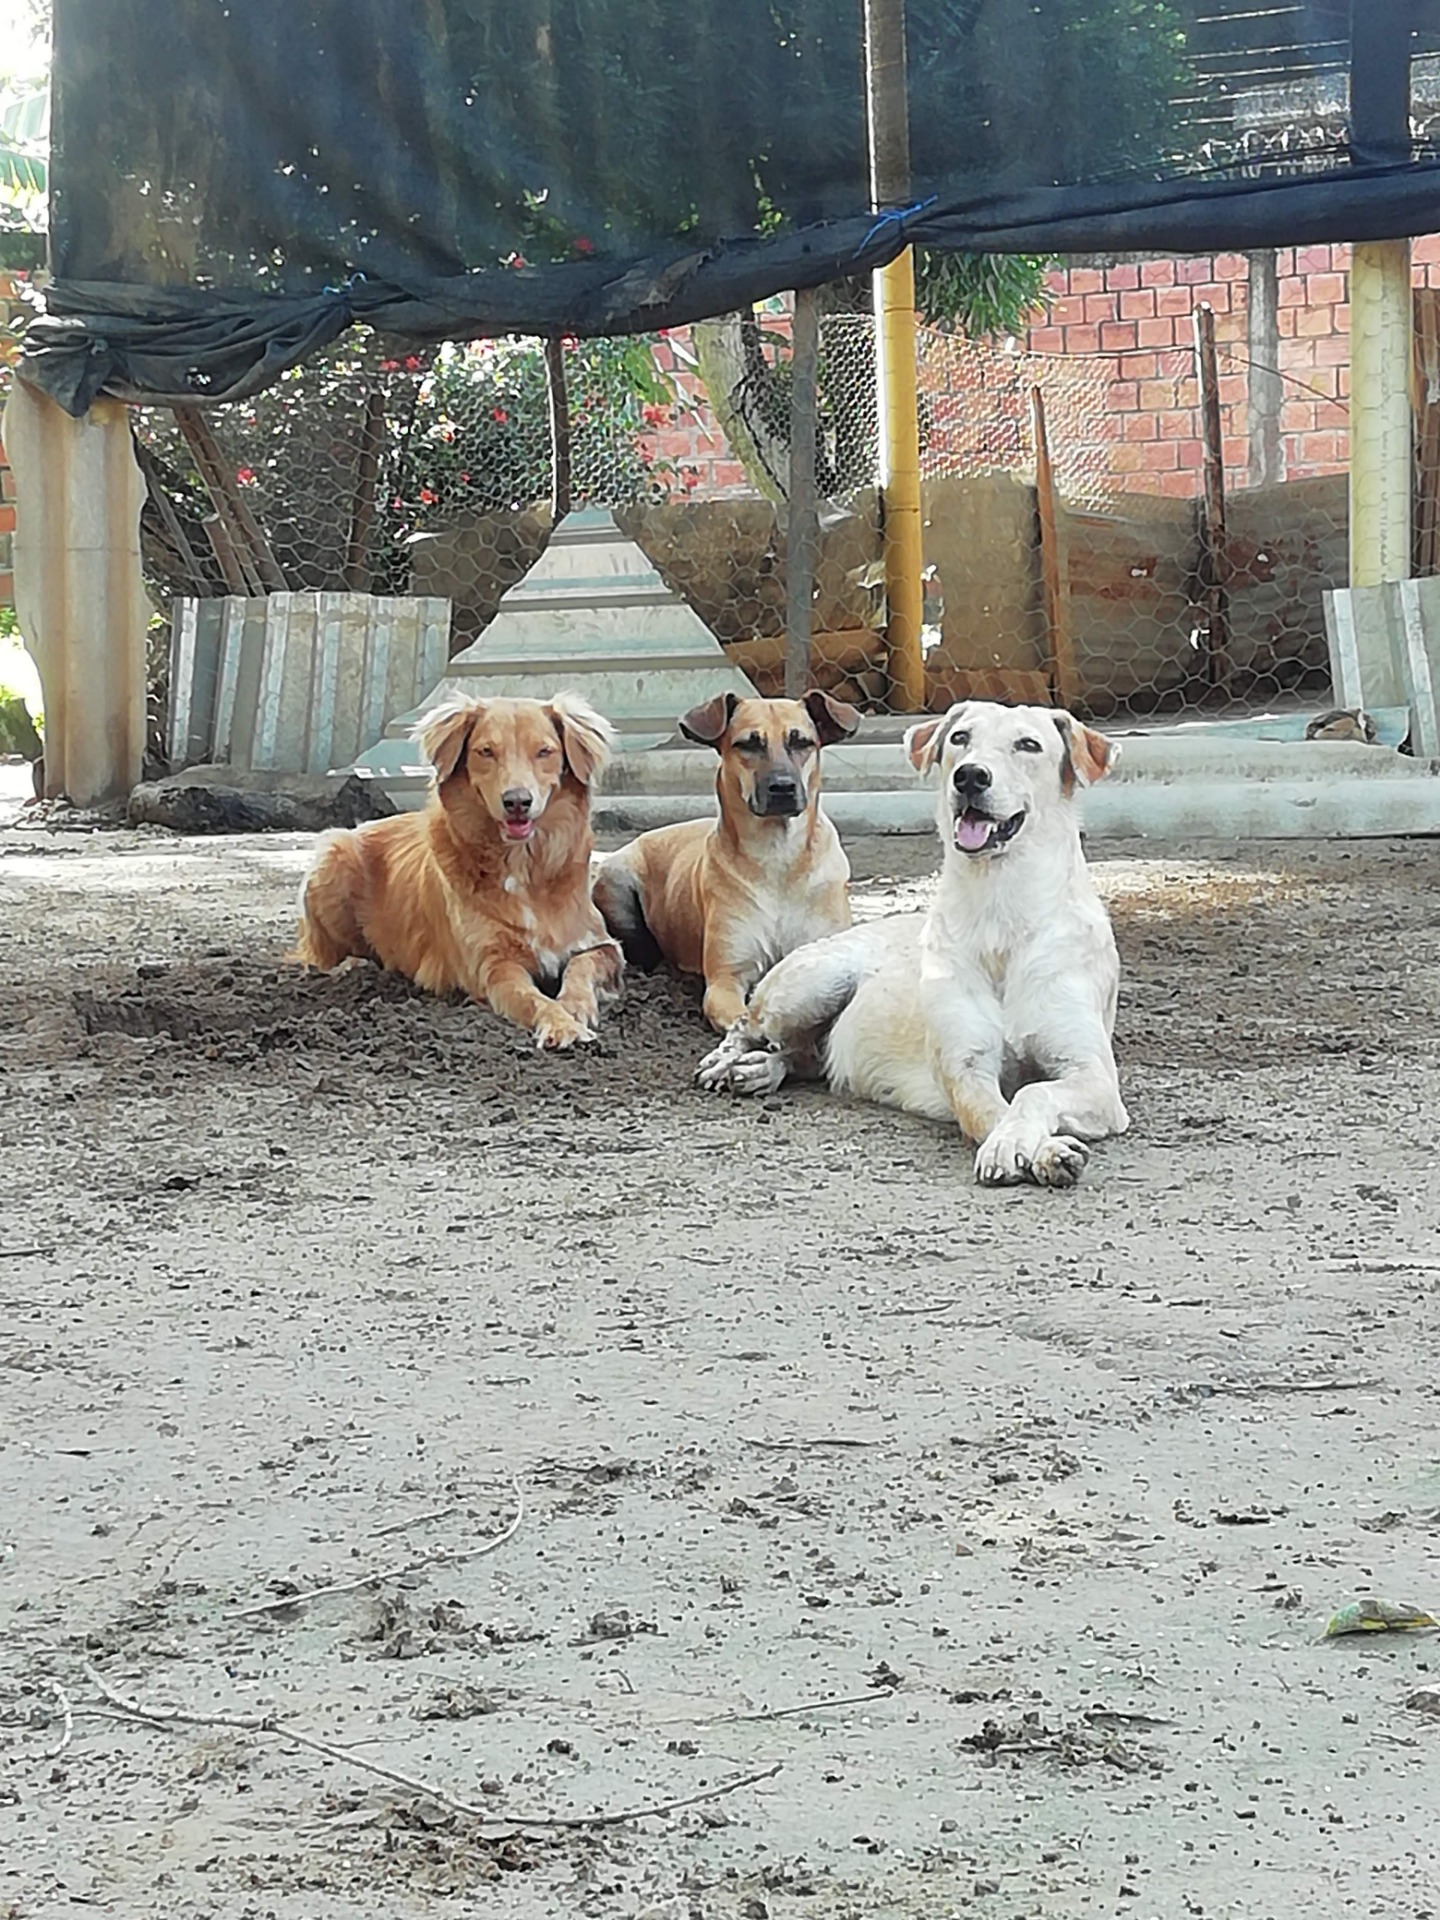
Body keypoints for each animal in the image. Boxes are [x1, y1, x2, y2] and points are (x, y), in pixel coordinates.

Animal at [294, 693, 623, 1050]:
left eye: (544, 751)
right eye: (486, 751)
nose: (517, 801)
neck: (523, 864)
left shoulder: (602, 944)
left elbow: (581, 966)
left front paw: (575, 1007)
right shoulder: (492, 967)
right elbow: (532, 998)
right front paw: (561, 1024)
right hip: (333, 856)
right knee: (323, 955)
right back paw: (355, 964)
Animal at [593, 690, 861, 1031]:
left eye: (802, 742)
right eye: (748, 744)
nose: (783, 787)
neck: (778, 855)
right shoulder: (725, 980)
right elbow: (738, 1014)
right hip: (616, 881)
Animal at [696, 700, 1129, 1187]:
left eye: (1028, 745)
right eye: (960, 738)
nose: (970, 776)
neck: (1001, 909)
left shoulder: (1093, 1077)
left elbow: (1033, 1092)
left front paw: (1037, 1148)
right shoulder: (965, 1070)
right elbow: (996, 1110)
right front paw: (1032, 1147)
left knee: (799, 1054)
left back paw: (761, 1069)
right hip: (808, 987)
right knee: (747, 1025)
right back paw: (727, 1062)